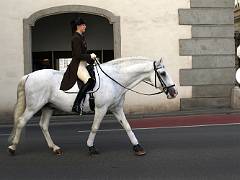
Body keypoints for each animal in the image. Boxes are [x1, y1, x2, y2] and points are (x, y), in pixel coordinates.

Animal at [7, 56, 176, 156]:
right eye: (163, 73)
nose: (174, 92)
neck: (114, 79)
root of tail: (29, 75)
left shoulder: (116, 109)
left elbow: (127, 126)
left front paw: (137, 147)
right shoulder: (102, 109)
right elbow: (95, 127)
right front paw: (91, 147)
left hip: (48, 107)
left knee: (43, 125)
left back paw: (54, 148)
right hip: (34, 106)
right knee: (21, 122)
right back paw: (13, 147)